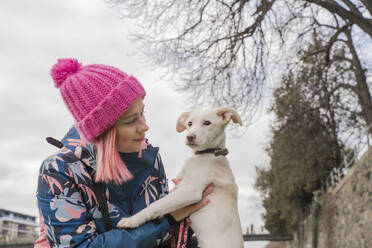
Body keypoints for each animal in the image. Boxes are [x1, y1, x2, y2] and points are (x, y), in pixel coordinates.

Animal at [117, 107, 244, 248]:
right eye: (189, 123)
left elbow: (156, 205)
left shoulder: (190, 191)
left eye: (207, 123)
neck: (208, 154)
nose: (190, 136)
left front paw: (132, 220)